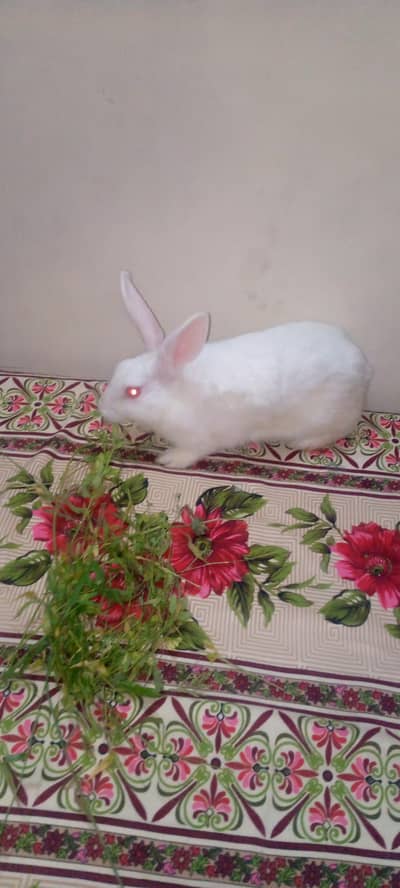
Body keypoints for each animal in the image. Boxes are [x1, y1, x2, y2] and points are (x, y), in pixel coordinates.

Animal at [100, 270, 372, 468]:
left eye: (133, 392)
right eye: (118, 368)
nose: (102, 410)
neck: (175, 397)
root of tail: (360, 360)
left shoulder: (199, 439)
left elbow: (192, 452)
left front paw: (169, 459)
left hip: (328, 418)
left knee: (335, 431)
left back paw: (303, 442)